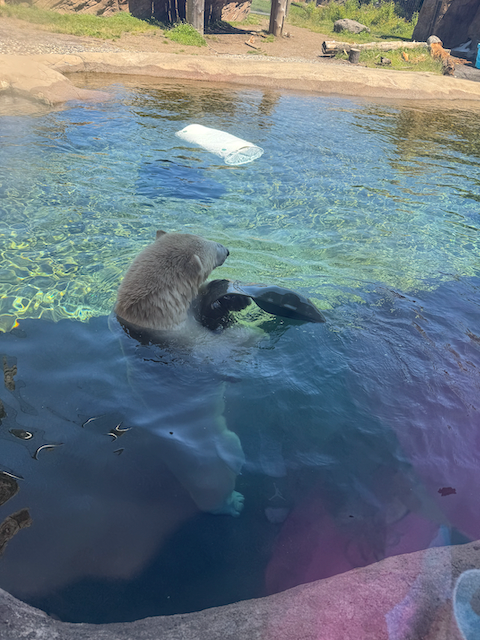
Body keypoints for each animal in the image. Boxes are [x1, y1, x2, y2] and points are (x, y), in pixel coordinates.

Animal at [113, 231, 246, 517]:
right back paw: (232, 502)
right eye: (214, 247)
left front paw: (227, 296)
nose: (228, 249)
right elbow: (218, 352)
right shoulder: (184, 343)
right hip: (212, 452)